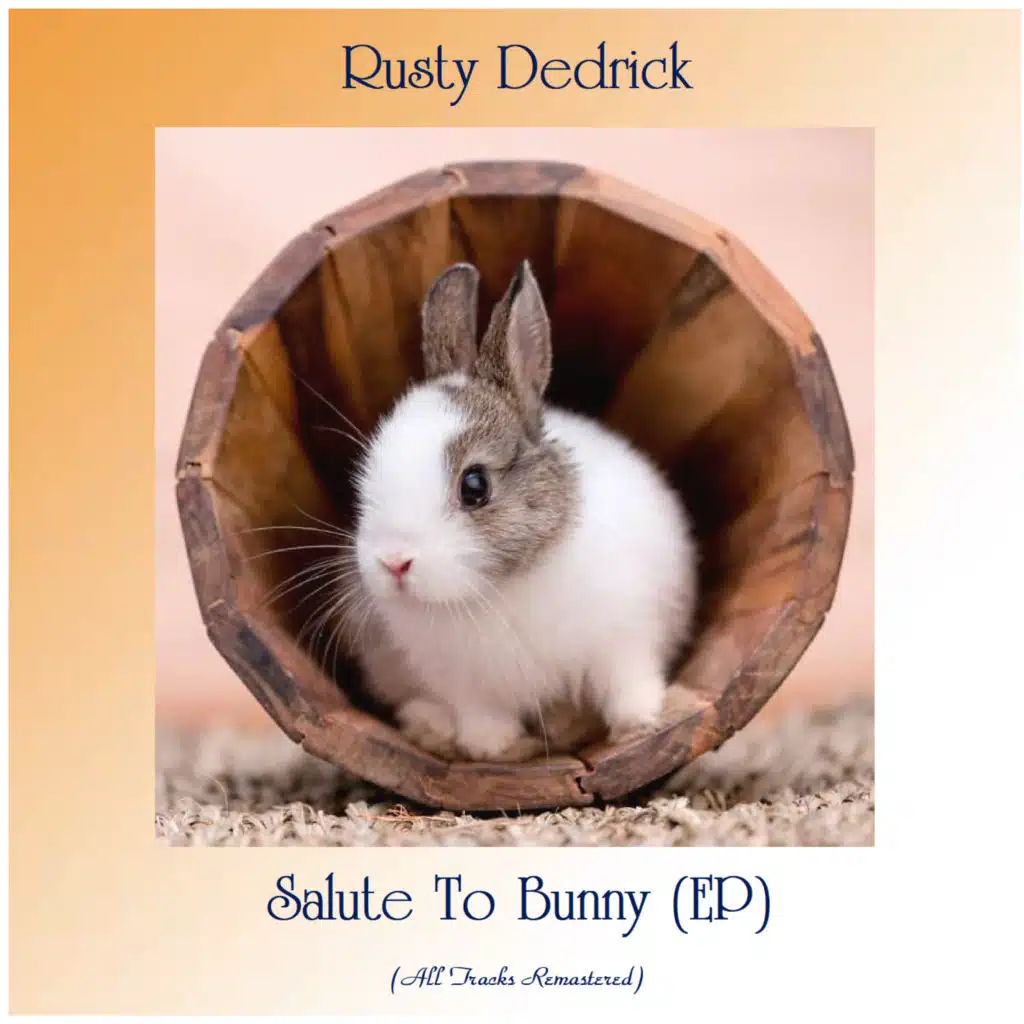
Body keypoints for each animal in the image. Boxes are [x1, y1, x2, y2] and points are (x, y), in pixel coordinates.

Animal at [343, 259, 698, 763]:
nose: (394, 562)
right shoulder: (467, 687)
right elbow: (484, 720)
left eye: (474, 486)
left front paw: (639, 723)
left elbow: (626, 682)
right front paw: (492, 748)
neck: (495, 589)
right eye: (367, 475)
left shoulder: (625, 638)